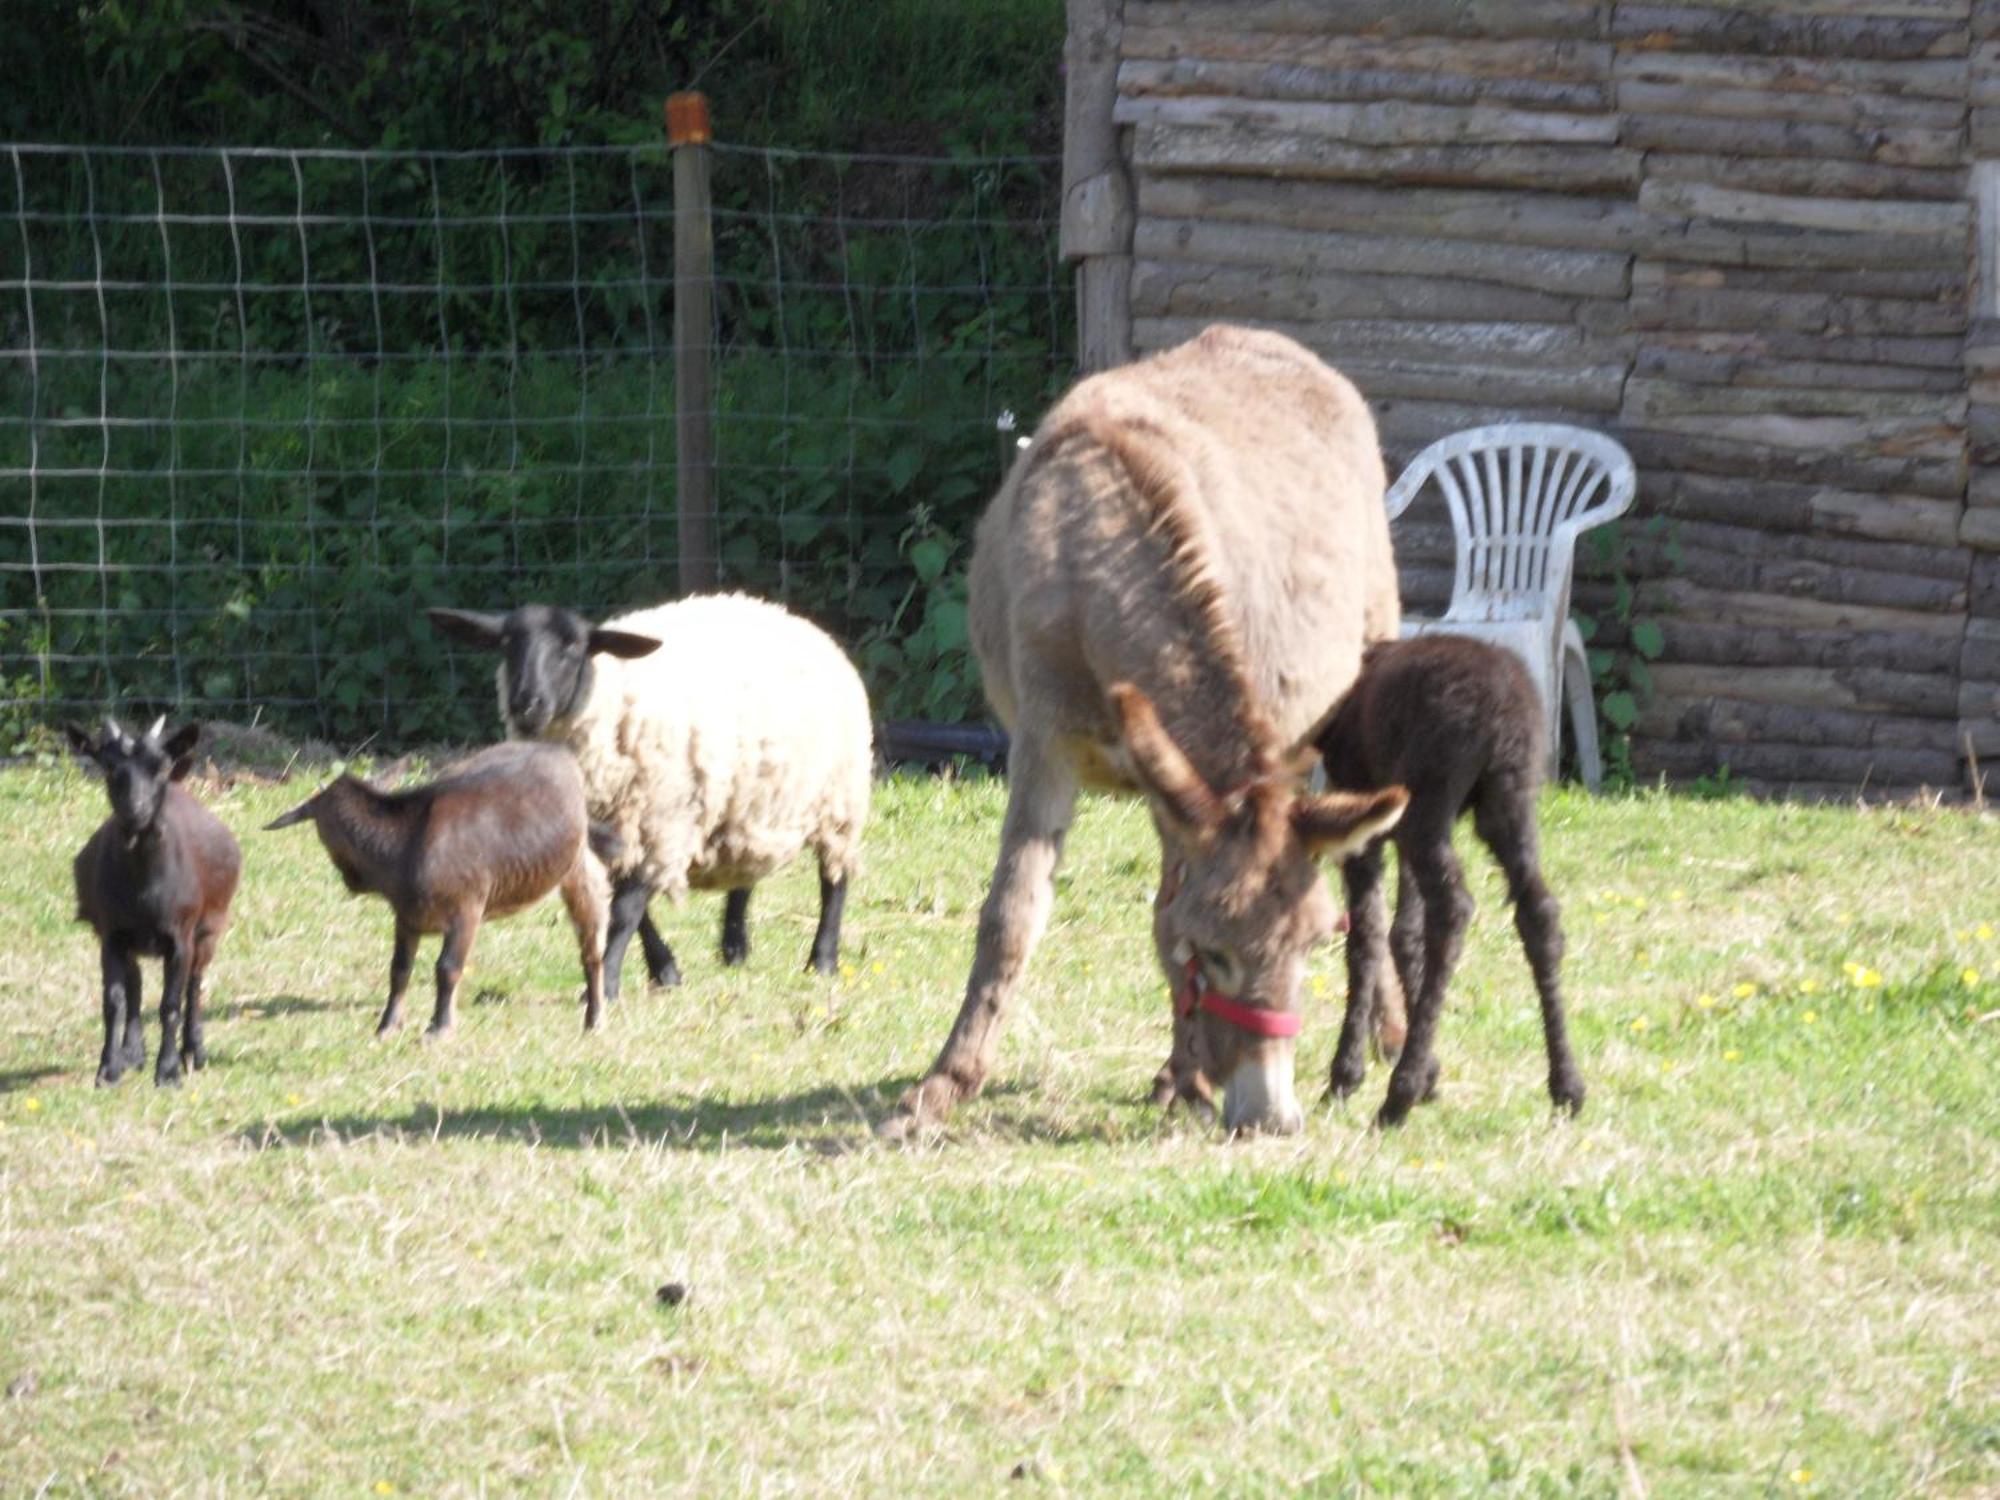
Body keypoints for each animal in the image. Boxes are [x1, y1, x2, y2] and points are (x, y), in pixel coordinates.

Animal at [67, 724, 242, 1088]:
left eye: (160, 767)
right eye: (109, 767)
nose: (136, 811)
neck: (144, 894)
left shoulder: (180, 937)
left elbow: (170, 1004)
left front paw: (169, 1072)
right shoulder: (111, 935)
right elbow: (114, 1001)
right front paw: (108, 1070)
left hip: (209, 929)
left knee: (195, 984)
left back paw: (193, 1051)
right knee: (135, 983)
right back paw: (132, 1053)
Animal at [426, 596, 872, 1000]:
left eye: (573, 648)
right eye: (507, 644)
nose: (527, 704)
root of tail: (786, 614)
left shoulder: (660, 825)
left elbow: (625, 912)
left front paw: (605, 986)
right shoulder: (609, 838)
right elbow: (631, 914)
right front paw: (665, 972)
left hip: (840, 800)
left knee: (834, 880)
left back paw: (823, 959)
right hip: (746, 802)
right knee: (744, 871)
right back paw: (735, 949)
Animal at [1320, 636, 1584, 1128]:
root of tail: (1501, 714)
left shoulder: (1366, 822)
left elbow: (1366, 936)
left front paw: (1346, 1077)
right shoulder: (1394, 825)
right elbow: (1404, 933)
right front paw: (1430, 1074)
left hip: (1432, 798)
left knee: (1453, 909)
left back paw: (1398, 1095)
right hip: (1506, 802)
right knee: (1538, 913)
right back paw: (1567, 1086)